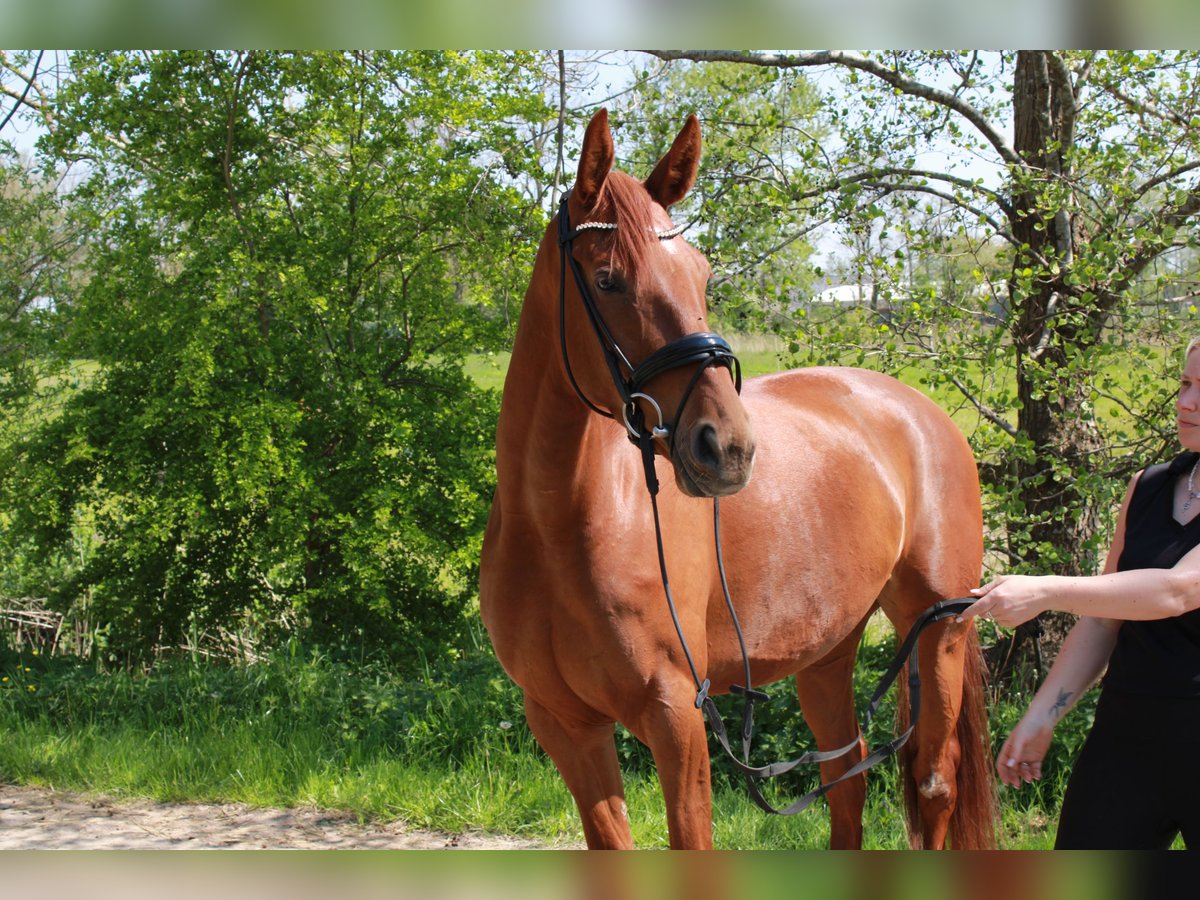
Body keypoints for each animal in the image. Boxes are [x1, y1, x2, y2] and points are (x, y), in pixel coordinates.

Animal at [477, 109, 993, 849]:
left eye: (701, 272)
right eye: (605, 278)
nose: (729, 447)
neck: (555, 526)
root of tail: (921, 412)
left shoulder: (676, 719)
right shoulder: (565, 724)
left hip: (938, 633)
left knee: (933, 782)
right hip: (829, 651)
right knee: (849, 780)